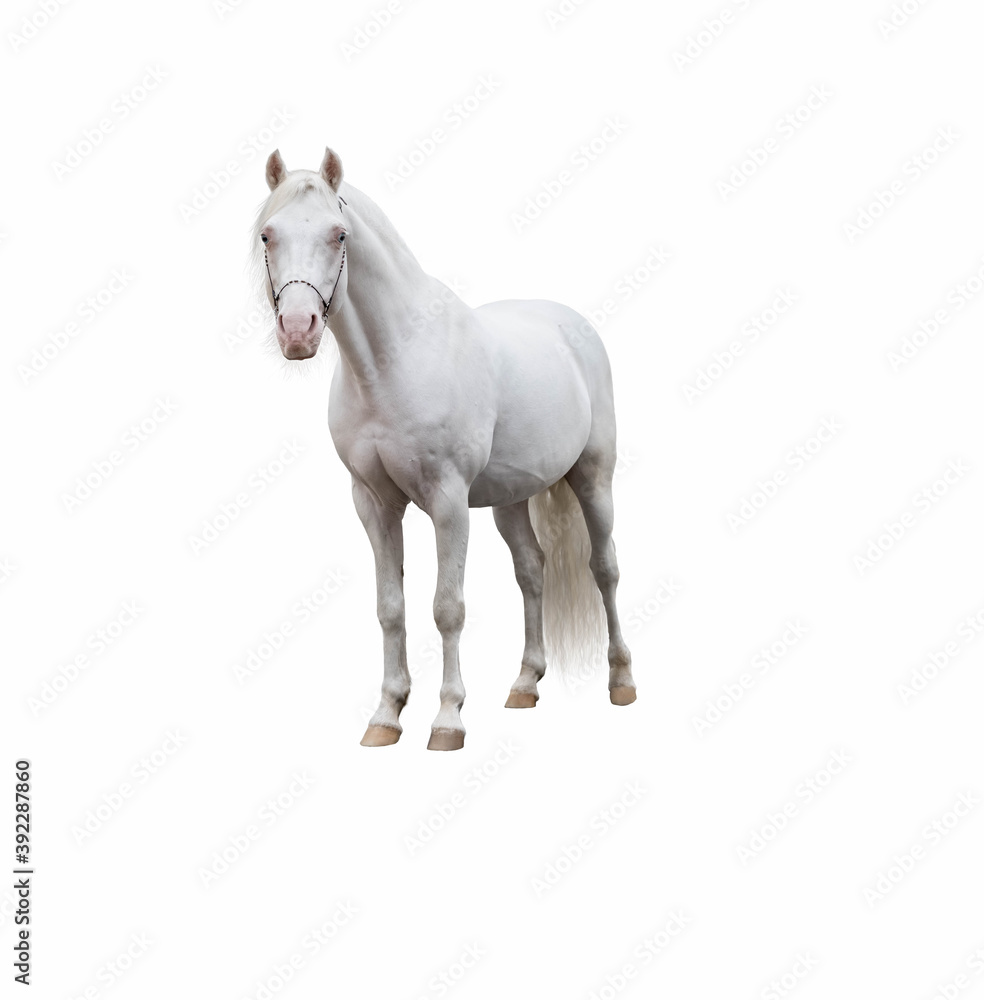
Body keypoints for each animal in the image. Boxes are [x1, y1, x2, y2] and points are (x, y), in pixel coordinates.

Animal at [251, 147, 636, 750]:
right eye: (268, 235)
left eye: (339, 234)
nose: (297, 330)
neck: (395, 360)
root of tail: (573, 326)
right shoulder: (373, 503)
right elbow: (391, 608)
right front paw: (386, 715)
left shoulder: (448, 502)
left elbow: (447, 608)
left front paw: (448, 719)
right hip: (510, 499)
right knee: (532, 571)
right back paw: (524, 683)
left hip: (594, 478)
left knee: (605, 568)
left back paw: (621, 679)